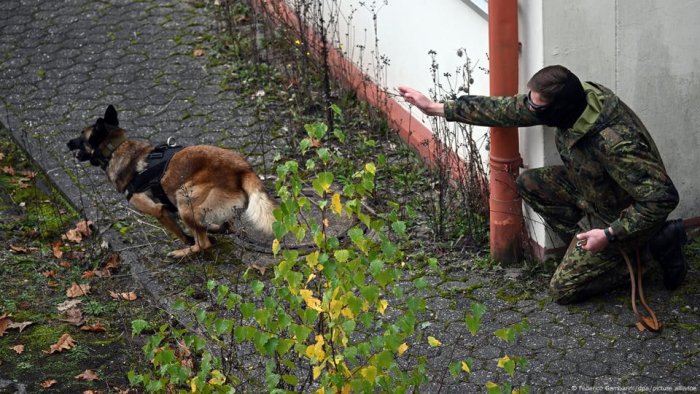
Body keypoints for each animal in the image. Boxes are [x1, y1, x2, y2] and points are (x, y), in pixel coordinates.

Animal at [68, 104, 276, 258]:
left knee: (203, 243)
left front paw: (187, 241)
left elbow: (181, 234)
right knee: (222, 226)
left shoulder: (158, 211)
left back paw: (183, 252)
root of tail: (242, 168)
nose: (67, 143)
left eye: (81, 136)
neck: (116, 149)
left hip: (184, 199)